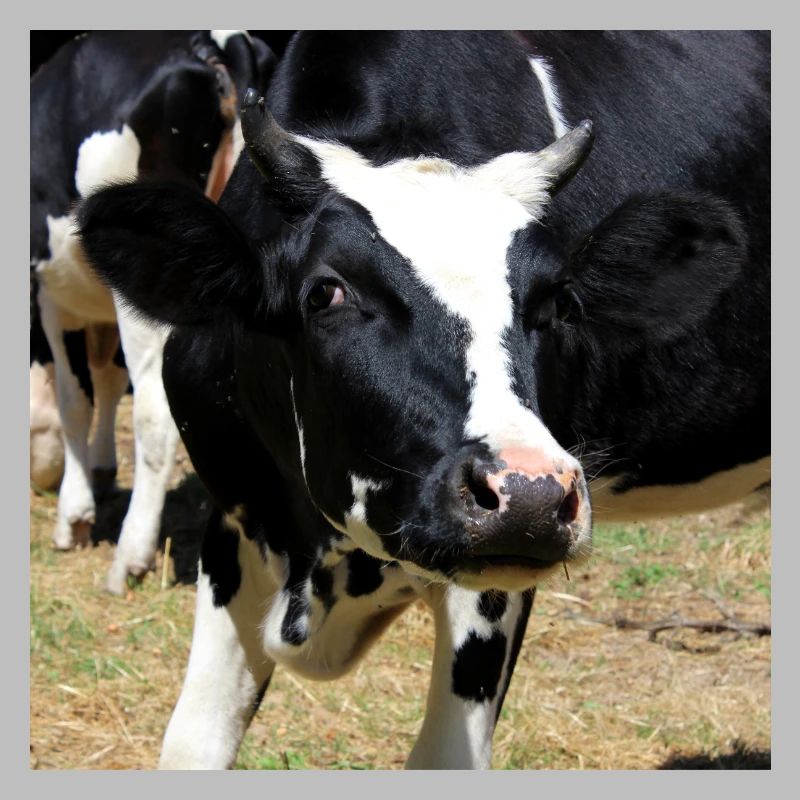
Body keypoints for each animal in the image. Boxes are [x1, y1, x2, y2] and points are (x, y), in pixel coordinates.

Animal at [30, 30, 276, 593]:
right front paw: (102, 471)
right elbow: (106, 379)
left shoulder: (54, 295)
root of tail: (212, 44)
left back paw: (130, 556)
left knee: (154, 412)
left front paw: (74, 514)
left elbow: (75, 398)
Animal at [77, 31, 769, 769]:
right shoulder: (237, 516)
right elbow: (192, 743)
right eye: (326, 292)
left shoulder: (492, 585)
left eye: (558, 304)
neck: (321, 561)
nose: (530, 494)